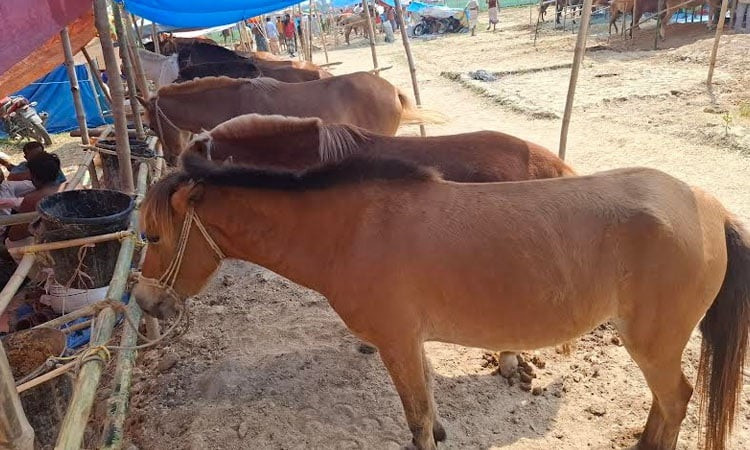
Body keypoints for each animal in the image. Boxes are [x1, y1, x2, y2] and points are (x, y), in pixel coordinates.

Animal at [135, 153, 749, 450]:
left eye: (153, 237)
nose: (143, 302)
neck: (349, 231)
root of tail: (708, 206)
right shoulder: (412, 343)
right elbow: (429, 407)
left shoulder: (396, 343)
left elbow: (417, 421)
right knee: (667, 404)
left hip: (653, 343)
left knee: (676, 400)